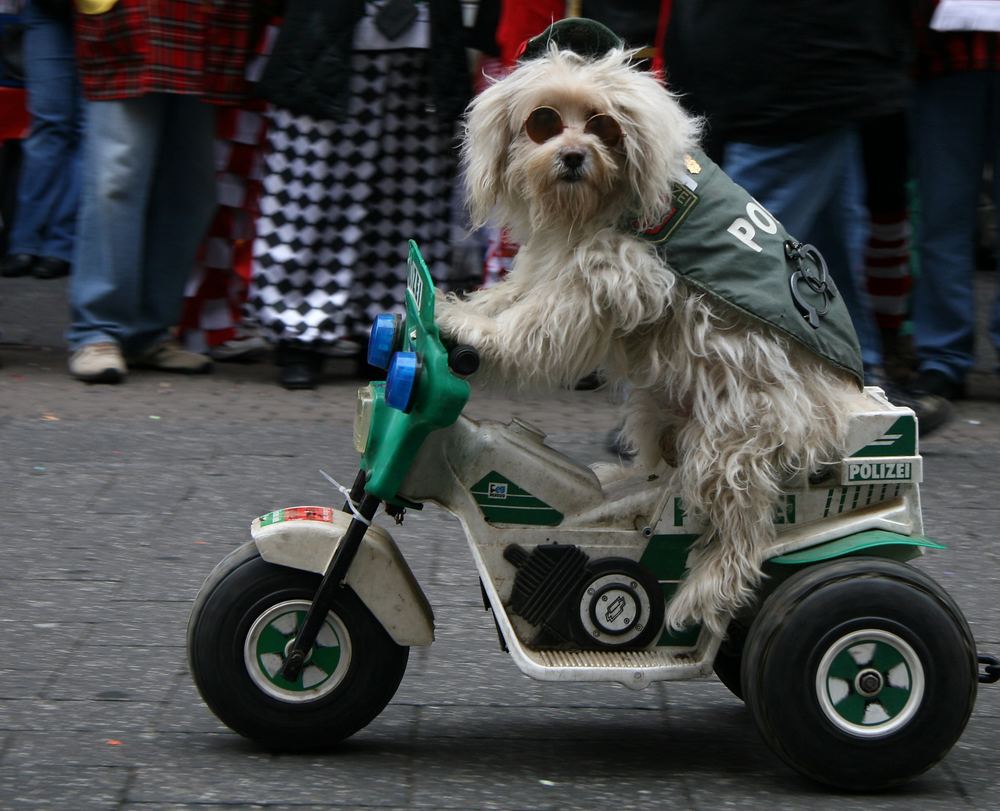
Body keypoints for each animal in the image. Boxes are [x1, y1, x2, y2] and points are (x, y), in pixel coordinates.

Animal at [438, 46, 860, 640]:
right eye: (543, 121)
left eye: (603, 125)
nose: (573, 156)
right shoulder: (558, 265)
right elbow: (512, 296)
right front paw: (457, 310)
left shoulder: (610, 274)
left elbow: (535, 320)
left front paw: (476, 334)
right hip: (661, 406)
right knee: (660, 471)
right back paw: (616, 484)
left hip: (732, 441)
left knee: (745, 533)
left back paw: (703, 594)